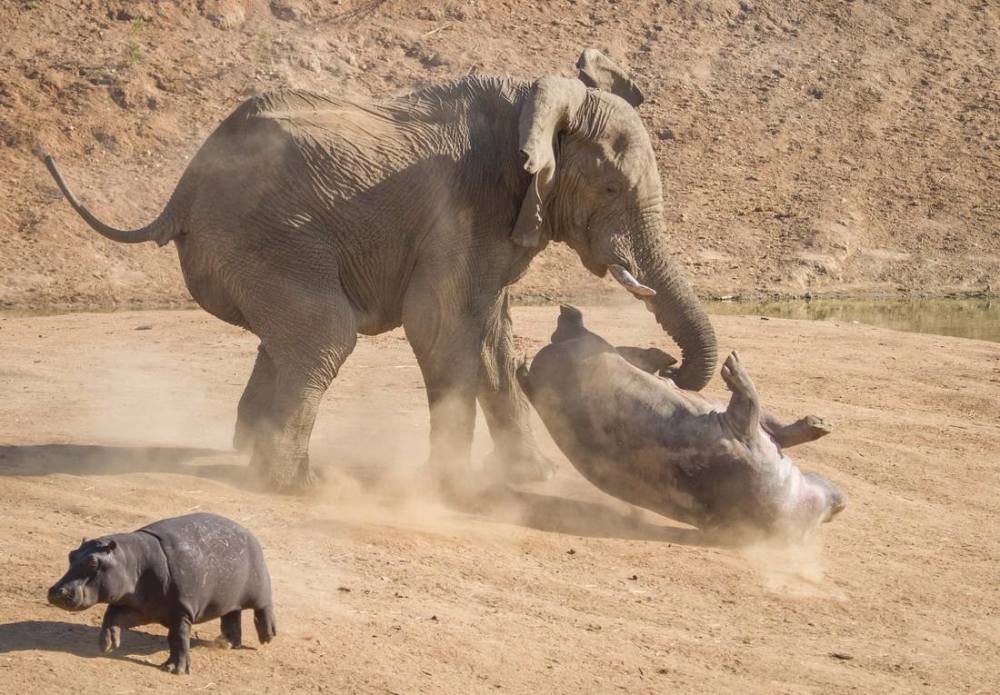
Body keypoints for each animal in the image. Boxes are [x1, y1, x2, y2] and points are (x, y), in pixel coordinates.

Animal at [45, 49, 720, 492]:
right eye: (610, 188)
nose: (670, 368)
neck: (536, 99)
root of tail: (180, 193)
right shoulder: (460, 208)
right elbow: (441, 326)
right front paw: (451, 489)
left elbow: (491, 337)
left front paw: (534, 477)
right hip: (264, 237)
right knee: (324, 334)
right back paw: (297, 486)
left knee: (288, 339)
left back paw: (252, 455)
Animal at [47, 512, 274, 676]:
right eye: (71, 555)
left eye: (94, 562)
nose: (56, 591)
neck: (132, 561)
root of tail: (247, 531)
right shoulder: (139, 608)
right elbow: (111, 616)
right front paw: (108, 645)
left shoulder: (181, 612)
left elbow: (178, 638)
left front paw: (174, 670)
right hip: (227, 598)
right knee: (232, 615)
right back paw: (225, 643)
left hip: (260, 587)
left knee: (264, 607)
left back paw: (268, 636)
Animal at [520, 306, 848, 540]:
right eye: (828, 511)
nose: (843, 501)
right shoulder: (743, 432)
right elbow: (760, 412)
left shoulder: (741, 432)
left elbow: (762, 414)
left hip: (582, 348)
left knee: (591, 339)